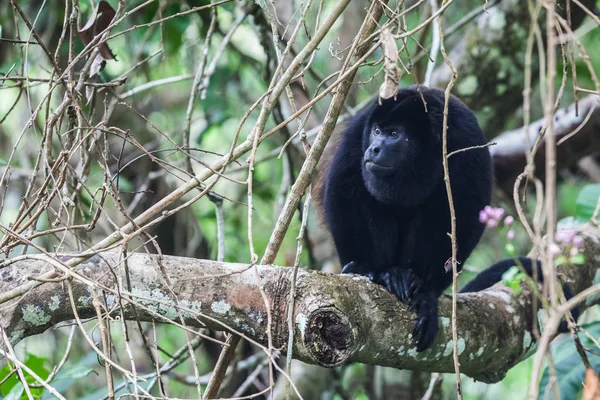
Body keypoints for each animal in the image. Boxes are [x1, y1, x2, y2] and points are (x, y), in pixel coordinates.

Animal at [324, 86, 492, 352]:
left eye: (395, 134)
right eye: (377, 131)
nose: (374, 149)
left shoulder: (468, 141)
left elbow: (468, 217)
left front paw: (427, 294)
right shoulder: (358, 132)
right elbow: (342, 190)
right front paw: (361, 266)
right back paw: (386, 274)